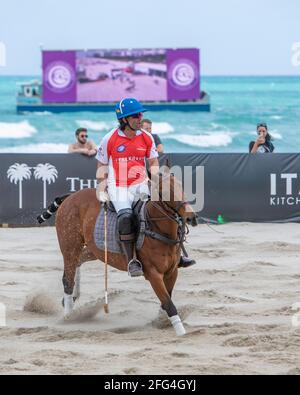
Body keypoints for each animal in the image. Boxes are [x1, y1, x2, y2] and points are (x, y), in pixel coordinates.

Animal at [55, 173, 198, 338]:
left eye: (182, 187)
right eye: (165, 192)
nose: (191, 217)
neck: (156, 228)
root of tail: (70, 196)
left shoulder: (172, 272)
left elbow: (166, 300)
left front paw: (162, 322)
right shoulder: (153, 274)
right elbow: (168, 303)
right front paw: (181, 332)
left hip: (95, 249)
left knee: (78, 262)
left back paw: (74, 299)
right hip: (70, 245)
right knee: (67, 279)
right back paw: (68, 316)